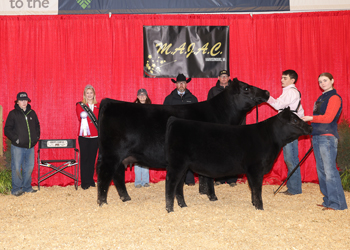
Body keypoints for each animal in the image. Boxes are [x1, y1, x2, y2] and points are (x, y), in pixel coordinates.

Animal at [97, 77, 270, 205]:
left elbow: (201, 177)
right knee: (105, 173)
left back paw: (125, 198)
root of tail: (109, 102)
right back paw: (102, 202)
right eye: (246, 88)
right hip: (111, 153)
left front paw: (200, 193)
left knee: (117, 175)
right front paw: (212, 196)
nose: (267, 92)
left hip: (120, 156)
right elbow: (209, 177)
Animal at [164, 108, 312, 212]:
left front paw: (254, 204)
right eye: (294, 121)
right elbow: (257, 189)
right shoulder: (256, 168)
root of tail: (176, 120)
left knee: (178, 186)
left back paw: (183, 205)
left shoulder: (251, 171)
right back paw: (170, 209)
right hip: (177, 163)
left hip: (184, 166)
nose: (310, 127)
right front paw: (260, 207)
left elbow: (253, 189)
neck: (269, 137)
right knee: (171, 183)